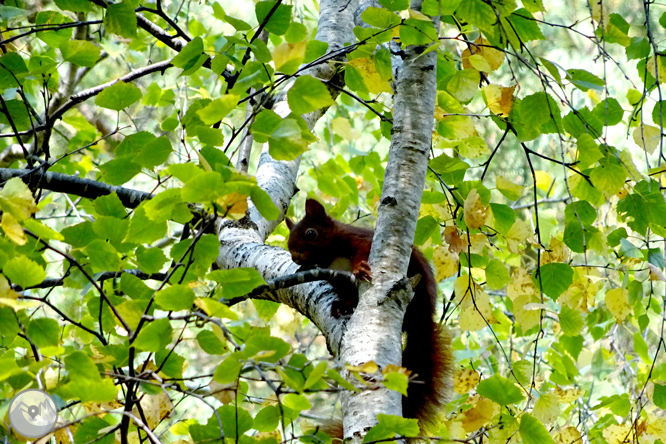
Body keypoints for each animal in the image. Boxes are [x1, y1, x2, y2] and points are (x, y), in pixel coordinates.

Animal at [286, 199, 452, 432]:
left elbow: (362, 251)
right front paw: (342, 305)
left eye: (311, 233)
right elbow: (344, 293)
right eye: (288, 242)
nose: (295, 255)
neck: (330, 257)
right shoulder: (337, 279)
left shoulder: (358, 240)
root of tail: (423, 319)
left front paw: (359, 269)